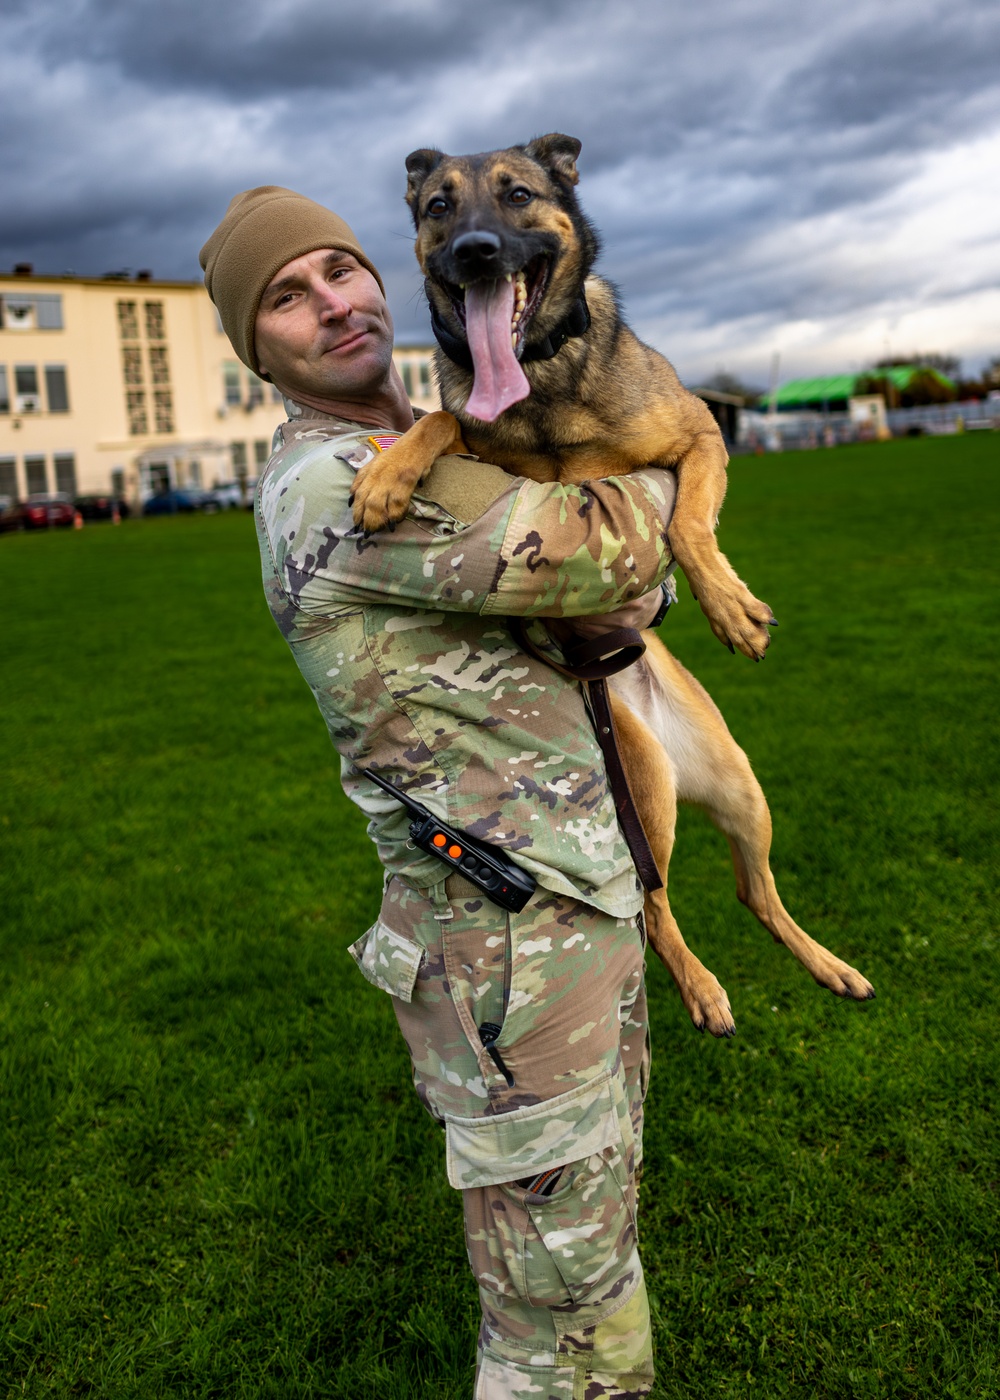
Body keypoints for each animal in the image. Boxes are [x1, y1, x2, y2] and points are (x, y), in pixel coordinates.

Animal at [350, 133, 873, 1030]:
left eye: (518, 194)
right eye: (439, 207)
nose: (474, 250)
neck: (540, 379)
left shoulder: (700, 438)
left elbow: (687, 525)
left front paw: (730, 609)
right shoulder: (485, 439)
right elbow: (443, 415)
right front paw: (388, 476)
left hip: (742, 788)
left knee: (754, 891)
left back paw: (826, 966)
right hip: (647, 789)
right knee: (654, 906)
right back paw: (702, 988)